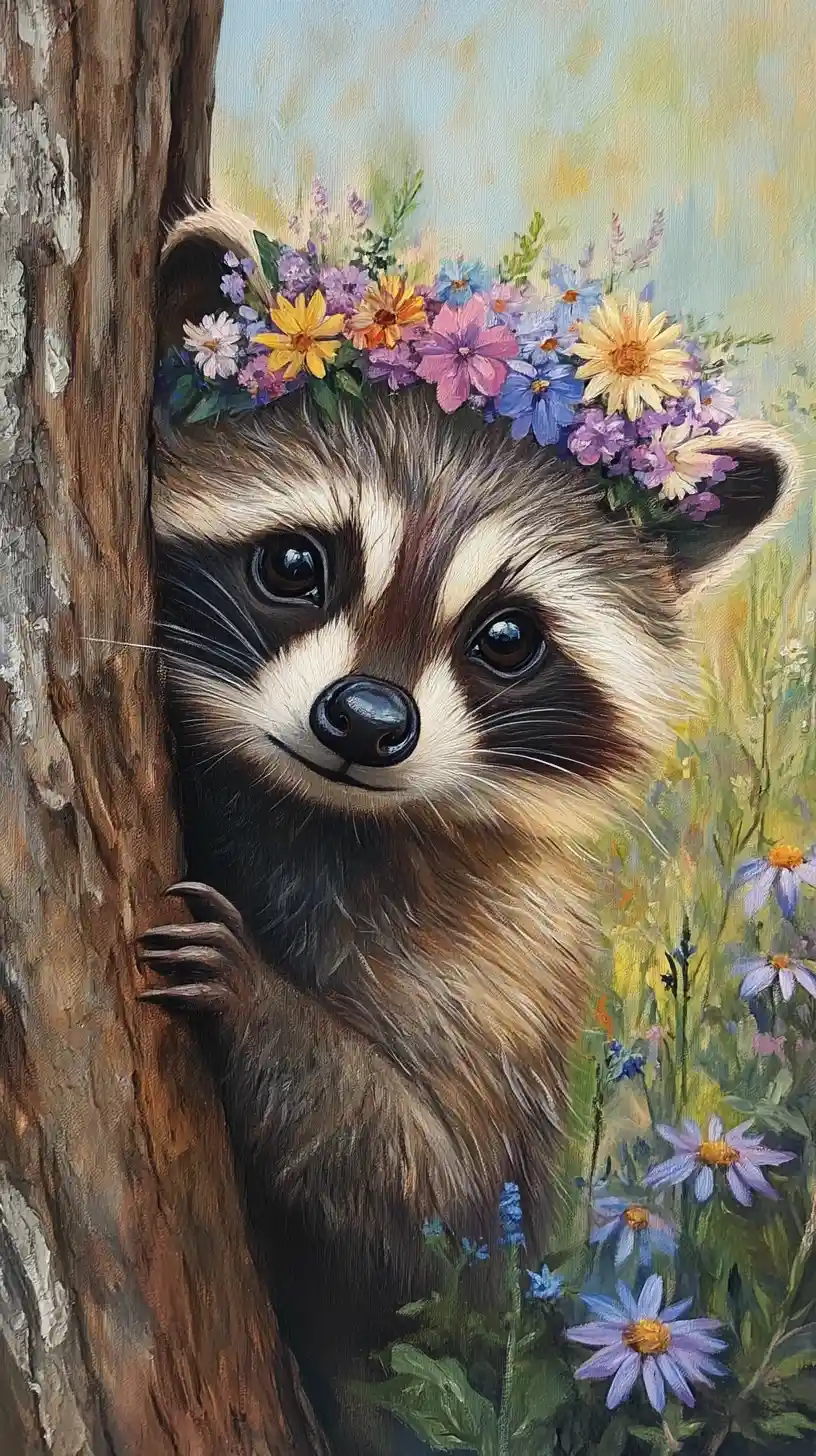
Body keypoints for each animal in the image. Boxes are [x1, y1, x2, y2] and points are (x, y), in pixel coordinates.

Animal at [139, 206, 800, 1452]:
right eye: (295, 563)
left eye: (506, 637)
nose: (364, 721)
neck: (323, 811)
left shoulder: (511, 965)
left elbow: (437, 1210)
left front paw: (264, 1007)